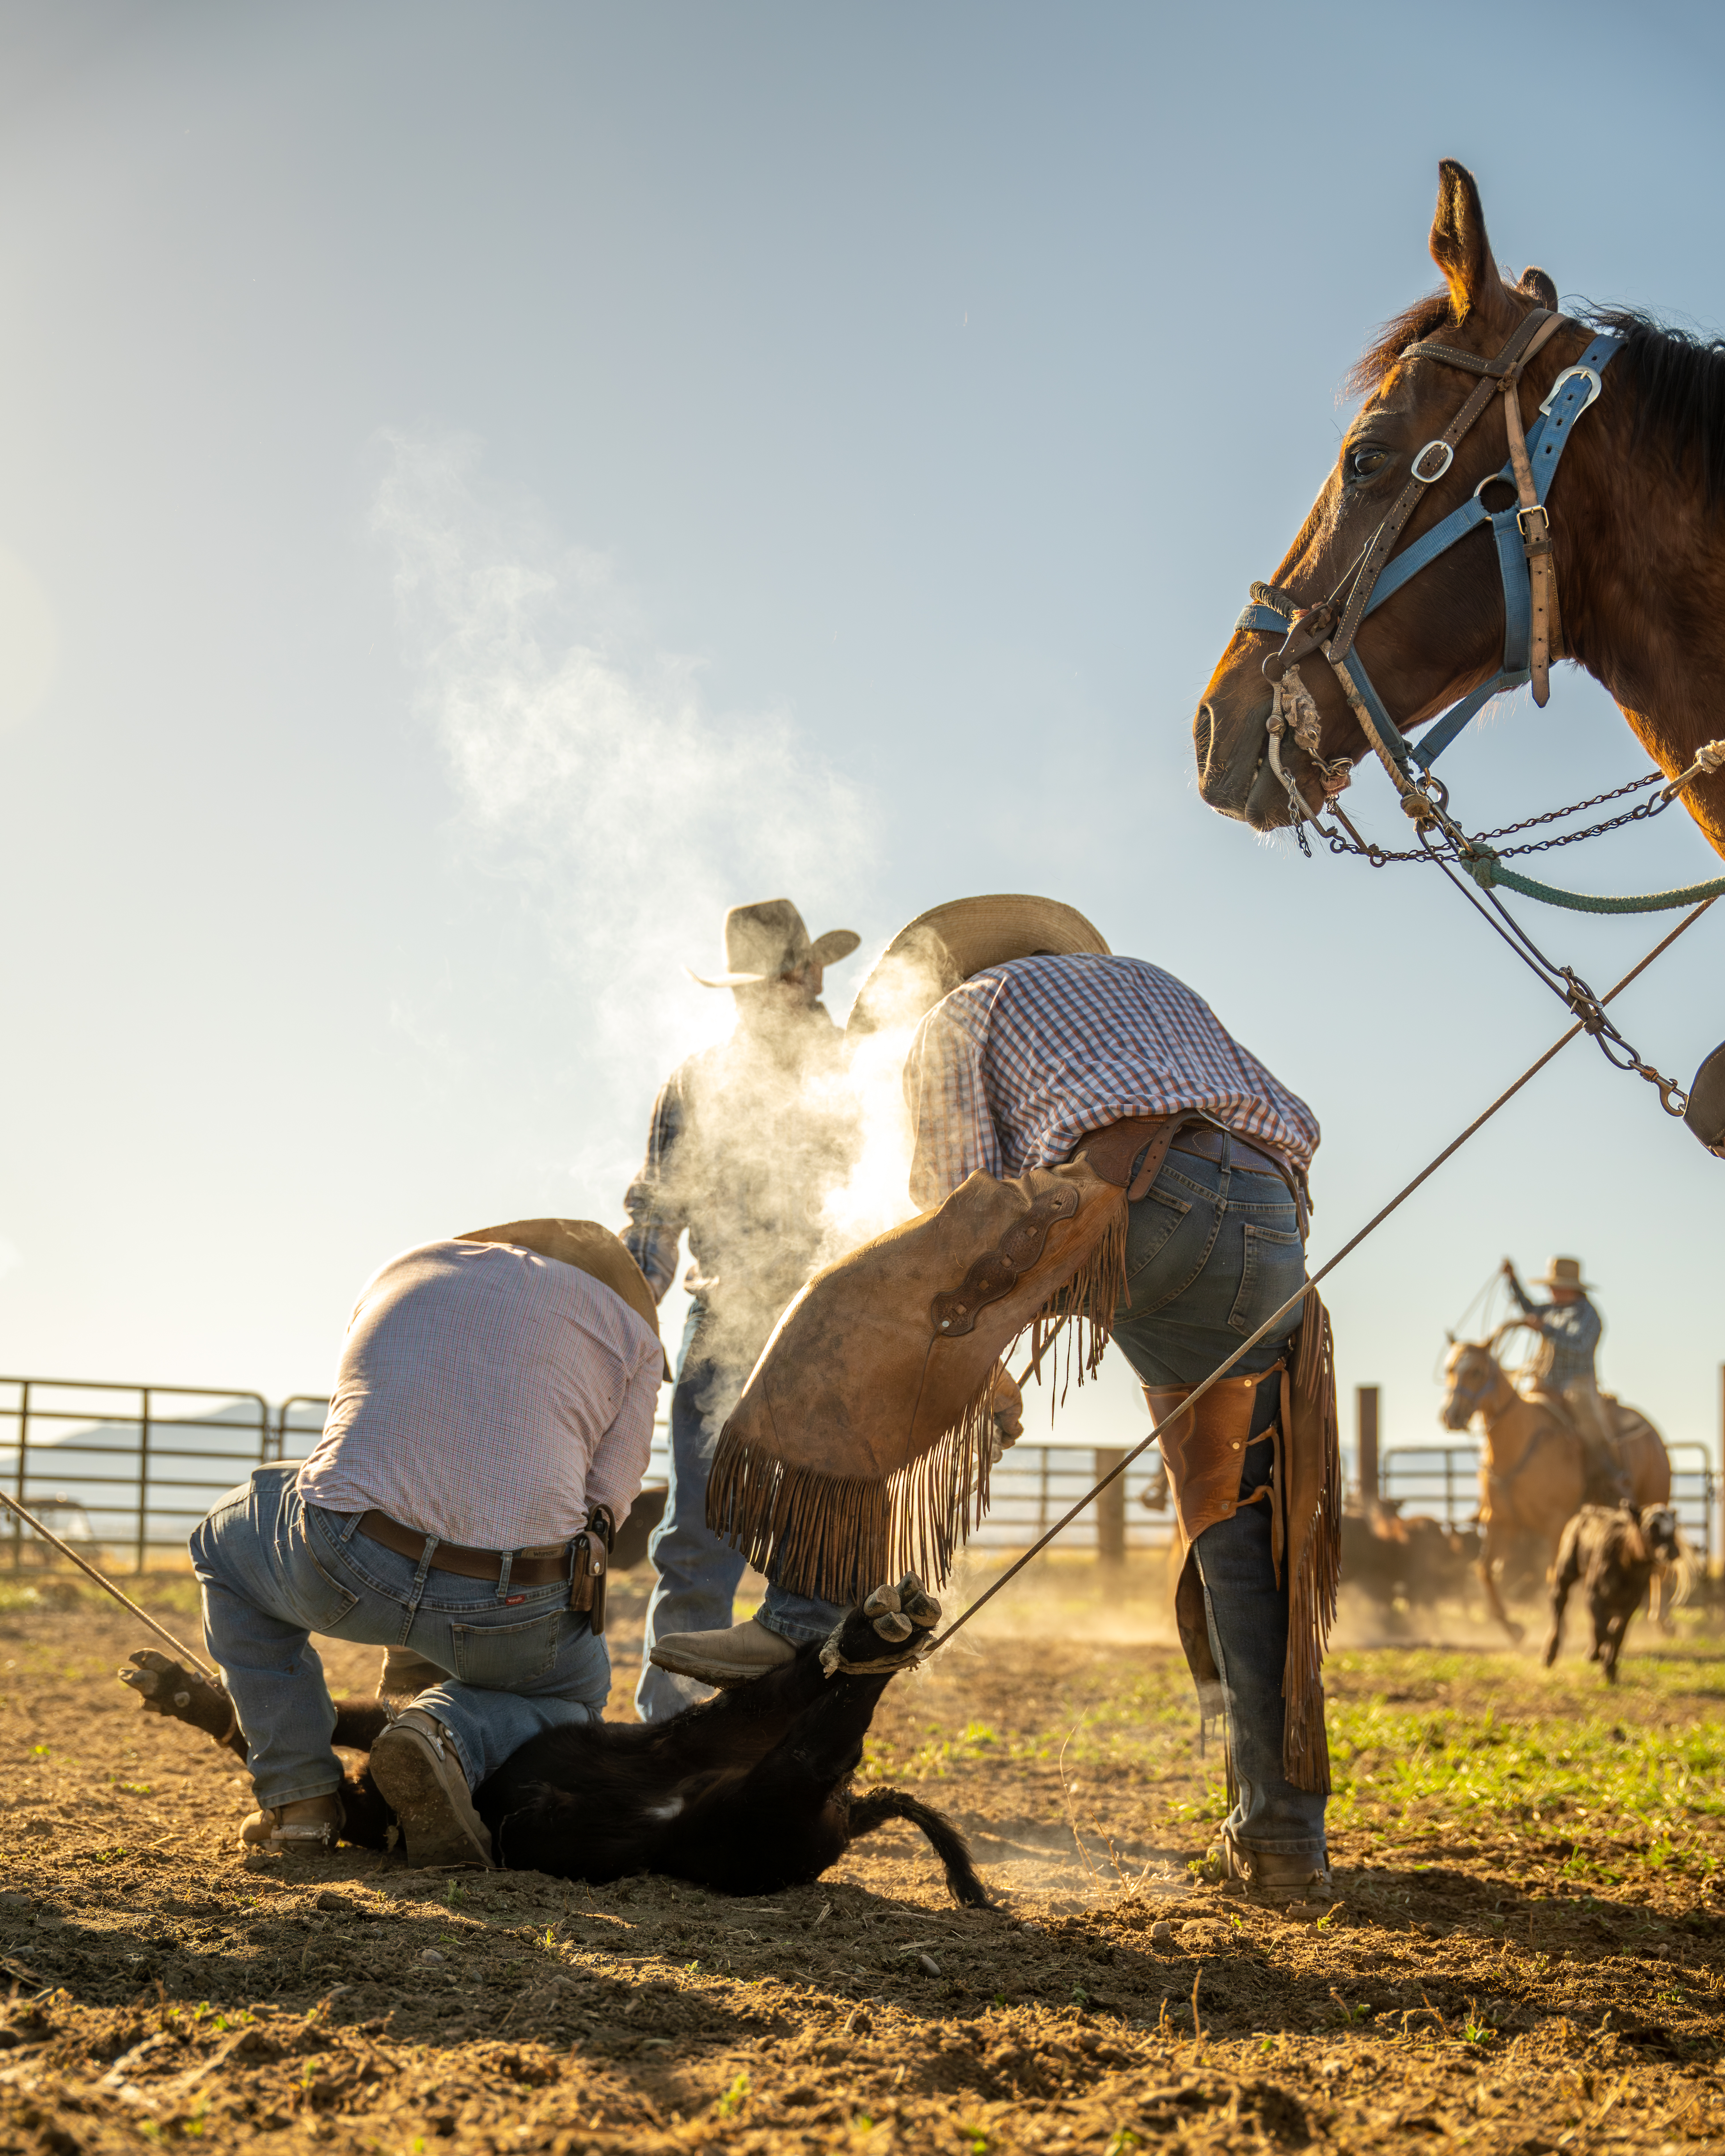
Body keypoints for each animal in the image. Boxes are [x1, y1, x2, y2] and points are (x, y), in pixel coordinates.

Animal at [119, 1573, 989, 1904]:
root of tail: (856, 1807)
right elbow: (325, 1719)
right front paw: (172, 1685)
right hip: (743, 1735)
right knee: (813, 1689)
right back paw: (883, 1625)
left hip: (764, 1810)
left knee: (829, 1730)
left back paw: (887, 1628)